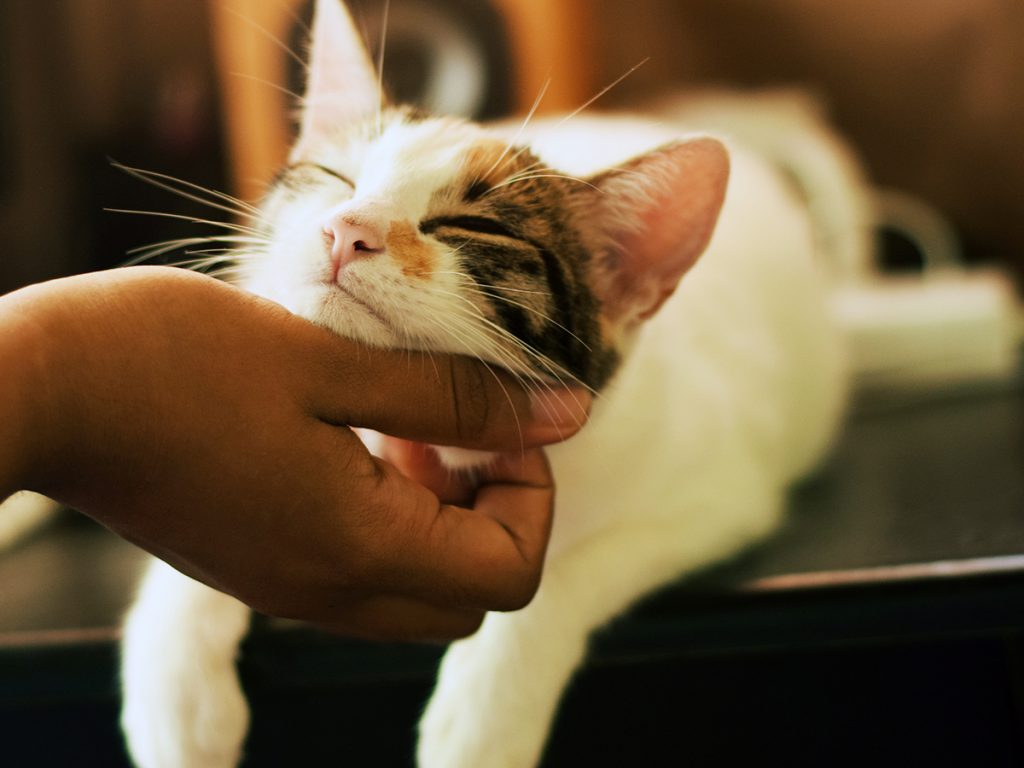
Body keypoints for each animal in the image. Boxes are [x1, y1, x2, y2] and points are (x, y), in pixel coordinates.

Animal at [119, 1, 851, 768]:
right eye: (336, 176)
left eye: (467, 225)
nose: (345, 228)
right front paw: (175, 687)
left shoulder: (719, 496)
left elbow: (564, 575)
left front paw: (482, 718)